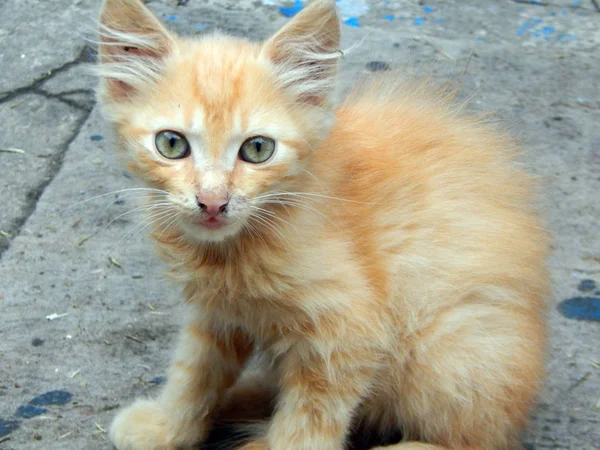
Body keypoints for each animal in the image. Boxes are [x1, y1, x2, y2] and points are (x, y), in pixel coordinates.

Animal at [96, 0, 552, 450]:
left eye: (257, 149)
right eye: (171, 144)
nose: (212, 202)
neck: (235, 247)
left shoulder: (349, 332)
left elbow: (307, 421)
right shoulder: (217, 312)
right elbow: (194, 373)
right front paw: (167, 427)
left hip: (451, 346)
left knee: (473, 437)